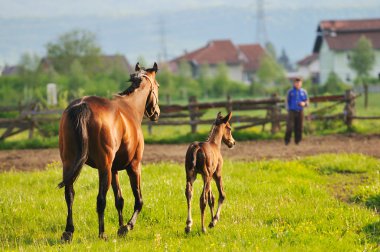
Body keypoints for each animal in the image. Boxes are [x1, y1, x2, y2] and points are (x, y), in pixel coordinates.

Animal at [58, 62, 160, 241]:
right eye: (158, 86)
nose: (157, 113)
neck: (130, 107)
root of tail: (82, 106)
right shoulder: (134, 166)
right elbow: (138, 200)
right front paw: (127, 226)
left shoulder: (114, 170)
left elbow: (119, 199)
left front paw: (120, 226)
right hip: (104, 167)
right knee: (101, 199)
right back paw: (102, 233)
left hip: (70, 164)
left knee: (69, 194)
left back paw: (68, 231)